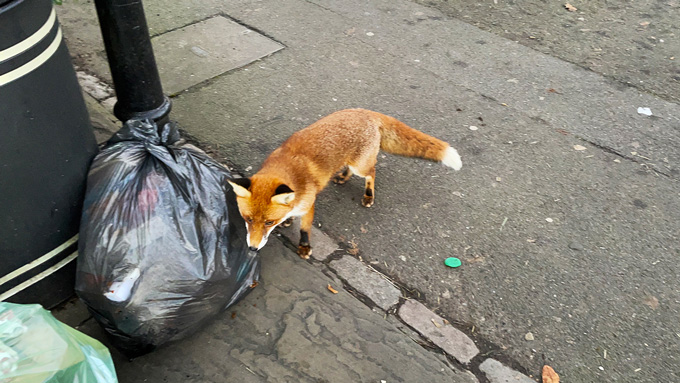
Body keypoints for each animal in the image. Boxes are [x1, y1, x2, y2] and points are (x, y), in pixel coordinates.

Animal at [228, 109, 462, 260]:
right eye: (248, 219)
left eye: (268, 222)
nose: (252, 249)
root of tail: (367, 111)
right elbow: (289, 215)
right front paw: (287, 221)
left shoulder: (309, 205)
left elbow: (304, 229)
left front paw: (304, 247)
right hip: (351, 160)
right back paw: (343, 177)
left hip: (361, 165)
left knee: (372, 172)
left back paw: (368, 195)